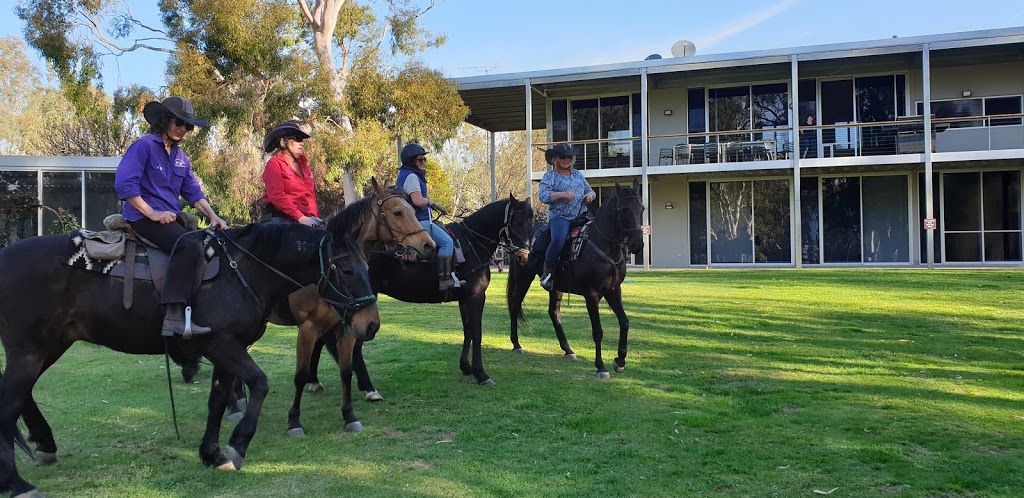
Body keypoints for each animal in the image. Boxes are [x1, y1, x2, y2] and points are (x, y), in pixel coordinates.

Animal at [0, 222, 378, 498]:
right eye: (346, 269)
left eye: (367, 265)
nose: (370, 324)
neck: (243, 271)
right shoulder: (221, 343)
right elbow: (259, 384)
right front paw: (238, 445)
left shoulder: (228, 350)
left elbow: (218, 401)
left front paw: (212, 454)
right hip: (29, 351)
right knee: (9, 404)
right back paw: (18, 483)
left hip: (48, 346)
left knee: (23, 396)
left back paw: (44, 443)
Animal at [286, 196, 532, 430]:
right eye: (518, 222)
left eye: (531, 221)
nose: (524, 257)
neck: (471, 244)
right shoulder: (475, 297)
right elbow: (477, 335)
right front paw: (481, 374)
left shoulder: (465, 300)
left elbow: (468, 334)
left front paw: (466, 367)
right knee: (353, 347)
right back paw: (367, 387)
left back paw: (317, 380)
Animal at [505, 181, 643, 379]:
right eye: (624, 210)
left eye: (642, 208)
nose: (637, 245)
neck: (602, 246)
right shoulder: (591, 295)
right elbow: (597, 331)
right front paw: (601, 367)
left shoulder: (613, 290)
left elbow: (624, 322)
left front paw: (620, 360)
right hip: (524, 278)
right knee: (515, 305)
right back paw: (516, 344)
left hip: (555, 287)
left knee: (553, 312)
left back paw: (568, 349)